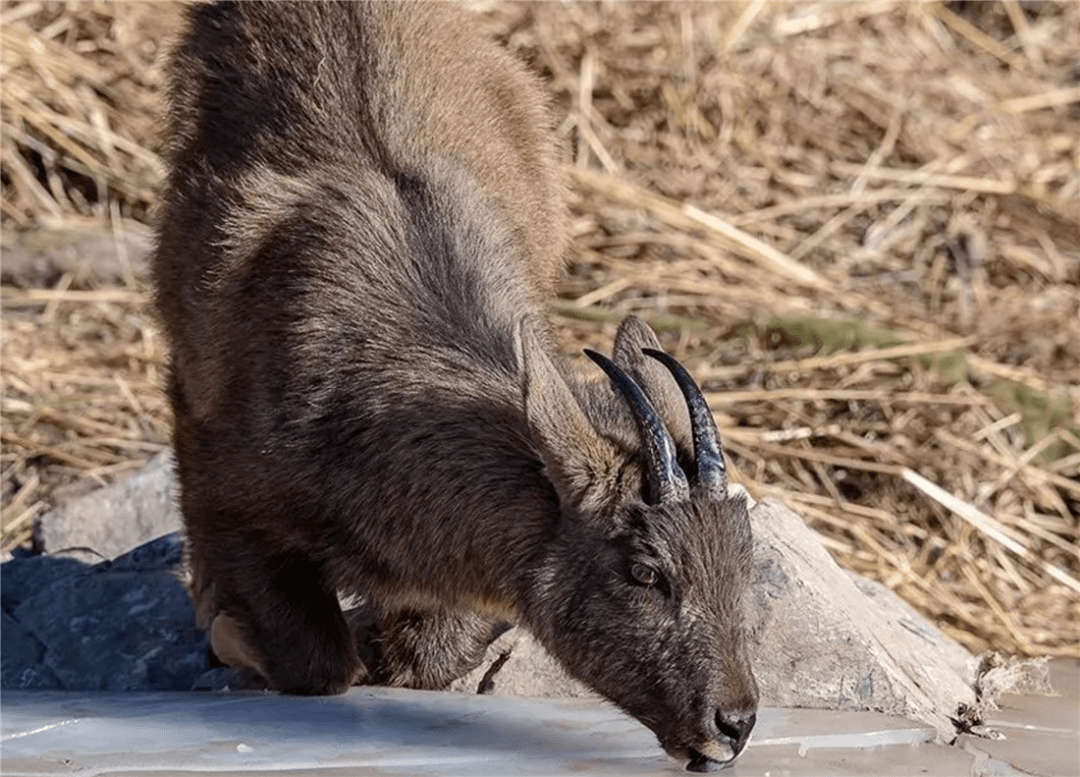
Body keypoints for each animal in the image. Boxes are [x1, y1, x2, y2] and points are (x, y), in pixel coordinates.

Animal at [154, 0, 760, 773]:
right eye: (645, 571)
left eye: (745, 559)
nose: (734, 722)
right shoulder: (222, 490)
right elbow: (315, 661)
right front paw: (228, 633)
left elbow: (423, 654)